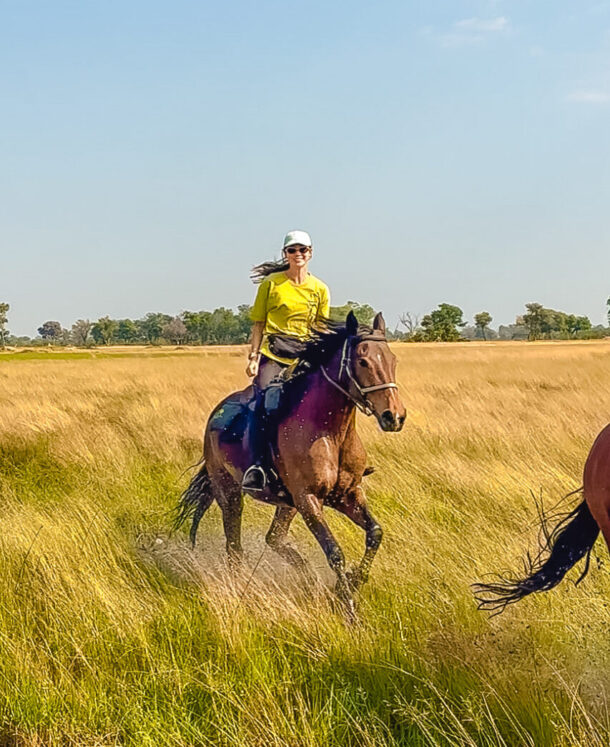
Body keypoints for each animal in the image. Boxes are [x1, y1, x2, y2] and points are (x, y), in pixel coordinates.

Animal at [174, 311, 406, 618]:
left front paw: (354, 581)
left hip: (287, 504)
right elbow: (334, 552)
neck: (329, 432)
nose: (395, 416)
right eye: (363, 361)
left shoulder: (347, 495)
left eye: (393, 360)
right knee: (234, 545)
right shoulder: (308, 499)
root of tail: (217, 412)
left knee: (274, 538)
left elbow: (375, 533)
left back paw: (310, 580)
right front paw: (347, 605)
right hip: (230, 492)